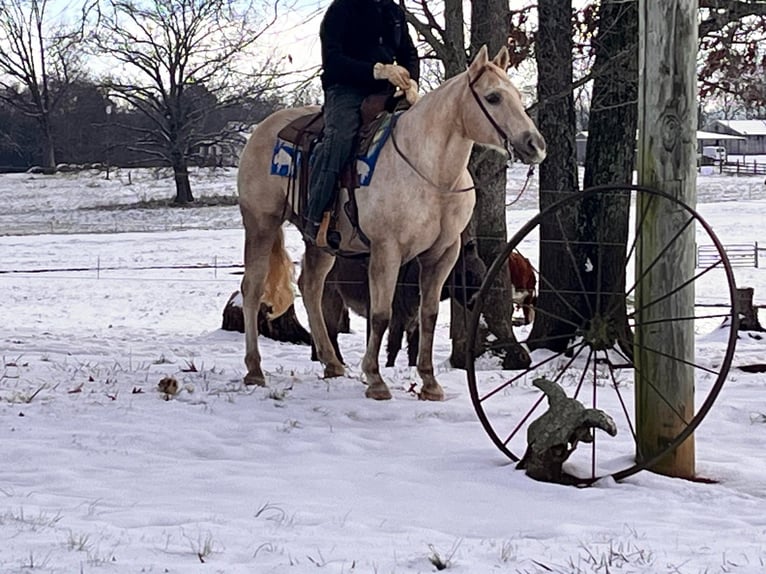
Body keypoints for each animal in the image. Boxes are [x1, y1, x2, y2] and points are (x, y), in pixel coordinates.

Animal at [237, 45, 546, 400]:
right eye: (493, 97)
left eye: (519, 97)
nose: (535, 145)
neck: (430, 172)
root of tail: (261, 129)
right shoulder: (387, 251)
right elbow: (381, 315)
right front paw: (375, 379)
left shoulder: (443, 253)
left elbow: (428, 315)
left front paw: (429, 383)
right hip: (261, 224)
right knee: (252, 288)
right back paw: (254, 370)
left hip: (322, 242)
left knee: (311, 287)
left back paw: (332, 363)